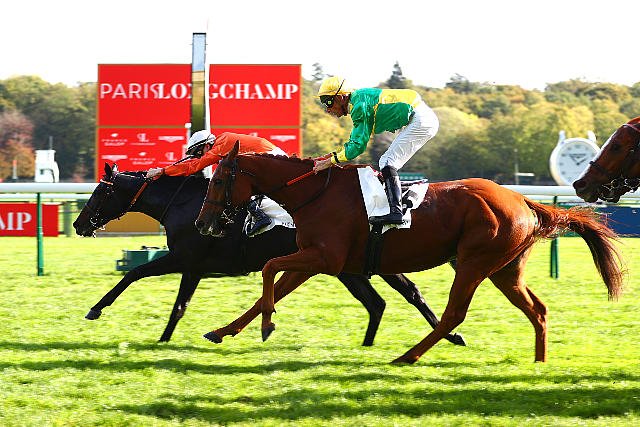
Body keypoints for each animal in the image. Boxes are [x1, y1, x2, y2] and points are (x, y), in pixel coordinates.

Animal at [72, 163, 466, 346]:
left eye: (99, 192)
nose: (78, 223)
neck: (186, 203)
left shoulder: (186, 260)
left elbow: (136, 275)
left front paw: (97, 310)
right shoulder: (194, 266)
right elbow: (176, 301)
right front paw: (166, 337)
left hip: (353, 265)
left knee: (396, 297)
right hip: (354, 267)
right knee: (385, 300)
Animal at [195, 142, 624, 364]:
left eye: (217, 180)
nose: (203, 224)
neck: (314, 193)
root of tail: (522, 199)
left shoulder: (325, 259)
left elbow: (268, 269)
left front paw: (267, 326)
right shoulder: (313, 260)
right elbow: (269, 288)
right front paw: (223, 330)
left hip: (473, 263)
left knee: (454, 313)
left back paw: (408, 356)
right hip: (505, 270)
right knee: (537, 309)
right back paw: (539, 360)